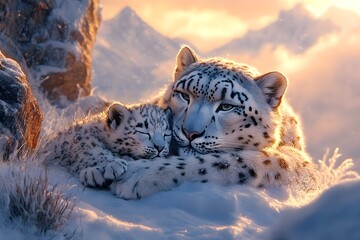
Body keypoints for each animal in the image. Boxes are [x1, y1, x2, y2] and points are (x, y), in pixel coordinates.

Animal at [40, 102, 172, 188]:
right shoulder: (76, 138)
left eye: (166, 134)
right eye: (143, 132)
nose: (160, 148)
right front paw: (112, 165)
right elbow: (90, 147)